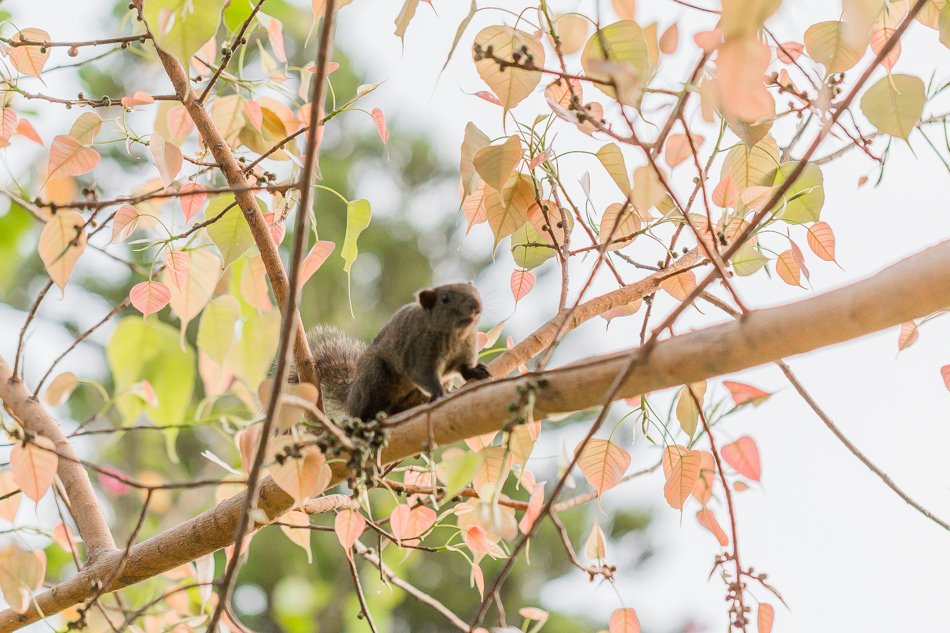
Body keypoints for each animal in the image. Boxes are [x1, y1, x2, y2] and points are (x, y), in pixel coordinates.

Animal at [292, 284, 494, 422]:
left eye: (475, 291)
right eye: (445, 299)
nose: (476, 305)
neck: (456, 335)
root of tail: (350, 398)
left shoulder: (465, 352)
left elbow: (464, 367)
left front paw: (476, 371)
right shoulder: (417, 354)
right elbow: (422, 374)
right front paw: (439, 391)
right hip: (373, 378)